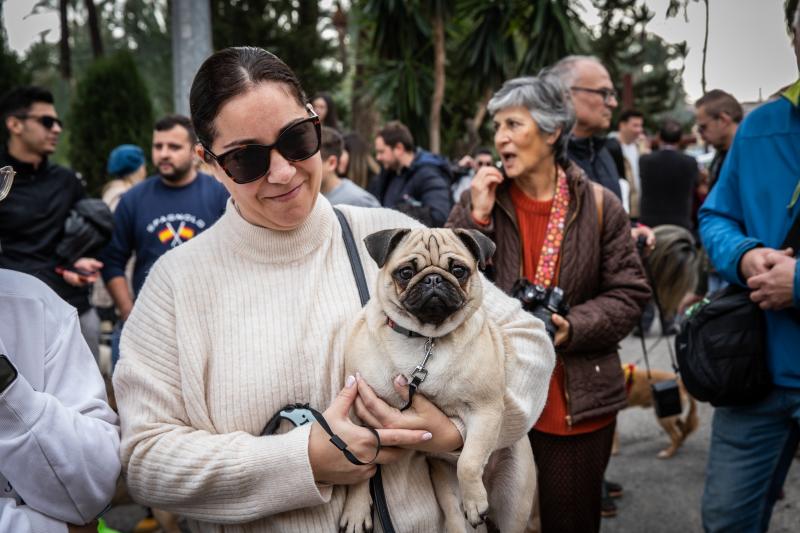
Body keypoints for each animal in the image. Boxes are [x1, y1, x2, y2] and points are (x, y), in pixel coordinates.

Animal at [342, 228, 536, 532]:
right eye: (406, 272)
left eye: (459, 270)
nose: (434, 278)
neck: (425, 339)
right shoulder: (356, 414)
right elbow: (360, 468)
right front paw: (356, 509)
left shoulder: (485, 410)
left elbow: (469, 460)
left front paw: (475, 501)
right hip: (446, 488)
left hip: (514, 498)